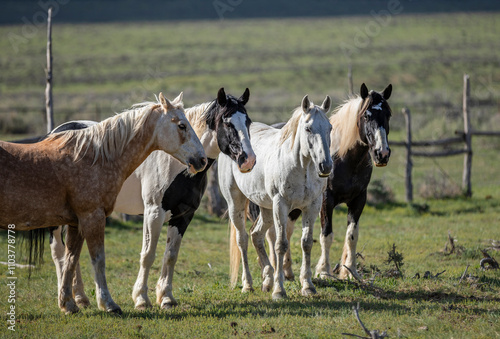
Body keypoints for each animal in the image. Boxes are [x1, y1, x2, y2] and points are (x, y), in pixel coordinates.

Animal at [0, 91, 207, 314]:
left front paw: (68, 304)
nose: (202, 159)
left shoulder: (76, 222)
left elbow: (72, 259)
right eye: (182, 125)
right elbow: (98, 259)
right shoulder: (94, 216)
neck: (92, 157)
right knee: (58, 253)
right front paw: (109, 303)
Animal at [48, 88, 256, 310]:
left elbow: (171, 255)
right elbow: (148, 255)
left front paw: (166, 297)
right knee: (59, 252)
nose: (248, 160)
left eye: (248, 121)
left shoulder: (183, 216)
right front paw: (141, 298)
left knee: (71, 253)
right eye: (228, 123)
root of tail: (55, 132)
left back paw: (80, 297)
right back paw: (68, 298)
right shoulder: (154, 212)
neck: (176, 164)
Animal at [219, 94, 332, 298]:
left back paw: (267, 279)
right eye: (308, 128)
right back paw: (248, 284)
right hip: (236, 204)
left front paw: (308, 286)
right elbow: (281, 244)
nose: (325, 166)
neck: (301, 167)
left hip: (266, 208)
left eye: (330, 128)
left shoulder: (312, 206)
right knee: (243, 240)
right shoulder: (281, 205)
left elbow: (306, 243)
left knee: (256, 235)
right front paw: (279, 290)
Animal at [260, 84, 392, 282]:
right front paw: (323, 271)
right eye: (366, 116)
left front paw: (350, 271)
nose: (382, 153)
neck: (344, 159)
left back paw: (287, 271)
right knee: (272, 233)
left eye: (388, 114)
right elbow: (326, 235)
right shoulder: (325, 200)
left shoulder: (359, 200)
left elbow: (352, 235)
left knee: (287, 230)